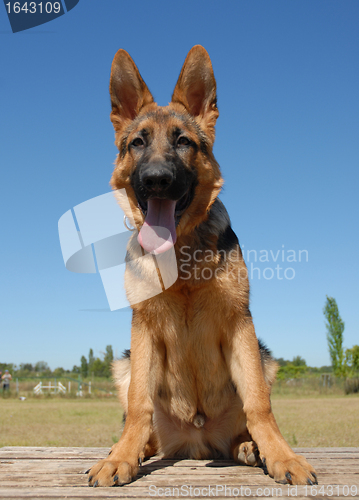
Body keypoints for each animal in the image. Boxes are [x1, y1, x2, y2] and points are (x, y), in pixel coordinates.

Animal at [88, 46, 318, 484]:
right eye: (138, 143)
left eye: (183, 142)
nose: (157, 179)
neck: (180, 257)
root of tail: (194, 441)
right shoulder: (143, 328)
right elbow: (139, 404)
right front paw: (121, 457)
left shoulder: (239, 323)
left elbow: (259, 404)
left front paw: (282, 456)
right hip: (124, 363)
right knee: (143, 422)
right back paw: (134, 448)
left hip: (265, 357)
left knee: (247, 417)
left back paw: (250, 448)